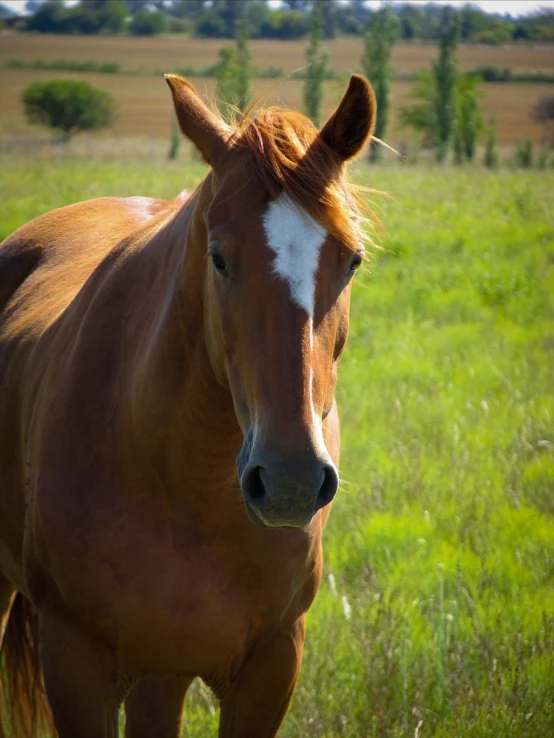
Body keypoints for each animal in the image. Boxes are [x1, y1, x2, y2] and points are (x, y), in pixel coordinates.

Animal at [0, 76, 376, 736]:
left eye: (352, 259)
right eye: (218, 256)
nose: (291, 481)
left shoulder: (271, 666)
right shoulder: (74, 664)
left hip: (165, 669)